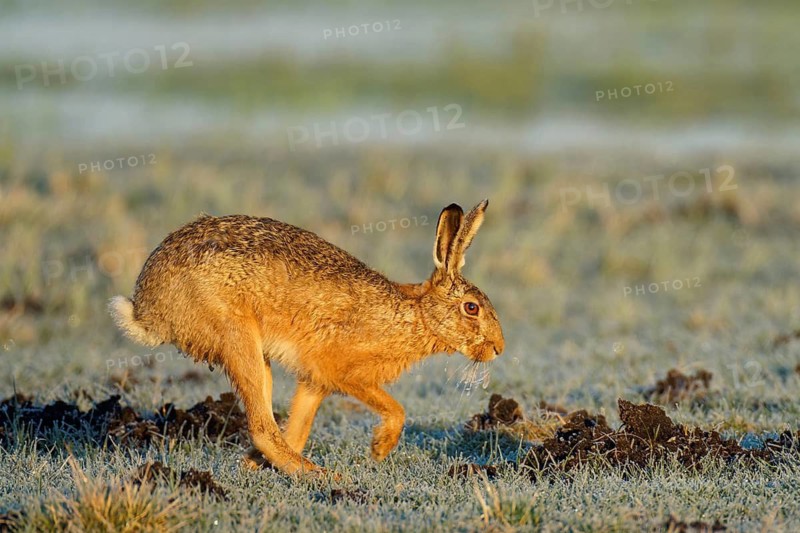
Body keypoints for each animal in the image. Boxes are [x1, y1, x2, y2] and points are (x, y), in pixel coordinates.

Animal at [109, 200, 504, 475]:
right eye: (471, 308)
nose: (498, 348)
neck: (418, 315)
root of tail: (149, 309)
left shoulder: (315, 382)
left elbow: (298, 427)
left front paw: (252, 464)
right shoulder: (345, 373)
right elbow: (397, 409)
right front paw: (379, 449)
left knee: (274, 428)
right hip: (237, 336)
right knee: (262, 427)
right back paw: (324, 476)